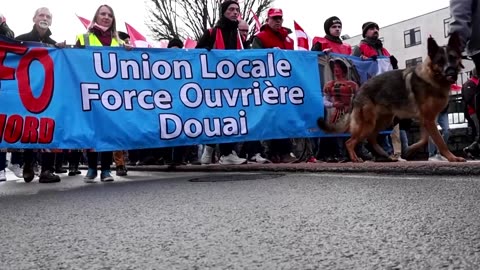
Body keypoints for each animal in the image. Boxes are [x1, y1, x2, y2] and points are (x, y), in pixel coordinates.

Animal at [316, 32, 466, 161]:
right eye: (440, 61)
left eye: (453, 58)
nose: (451, 72)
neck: (431, 77)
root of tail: (359, 91)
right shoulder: (428, 119)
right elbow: (440, 141)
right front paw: (453, 158)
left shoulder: (427, 120)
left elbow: (424, 139)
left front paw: (410, 149)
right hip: (368, 124)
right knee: (350, 142)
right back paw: (355, 158)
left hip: (383, 121)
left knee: (371, 138)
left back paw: (385, 155)